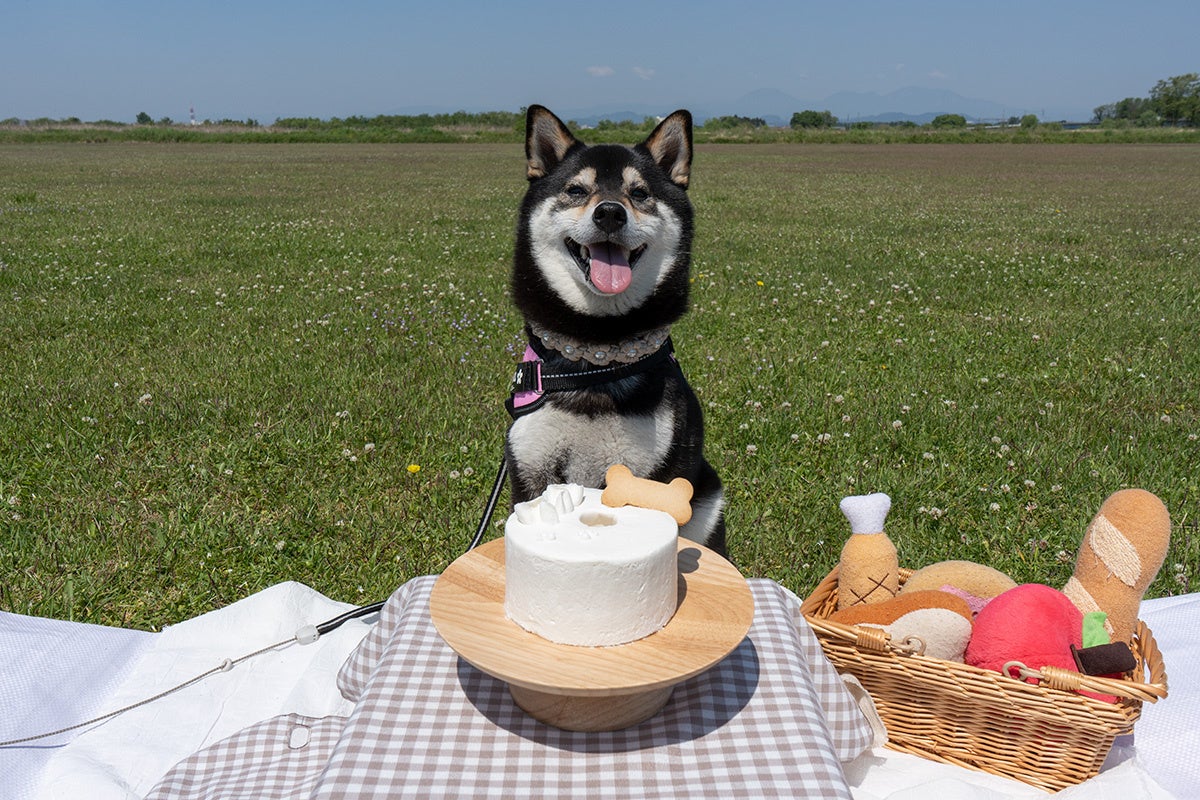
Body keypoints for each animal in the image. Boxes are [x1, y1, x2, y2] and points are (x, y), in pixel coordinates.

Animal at [503, 105, 726, 556]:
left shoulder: (651, 471)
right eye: (576, 190)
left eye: (639, 193)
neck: (594, 357)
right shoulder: (530, 464)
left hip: (707, 502)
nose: (609, 212)